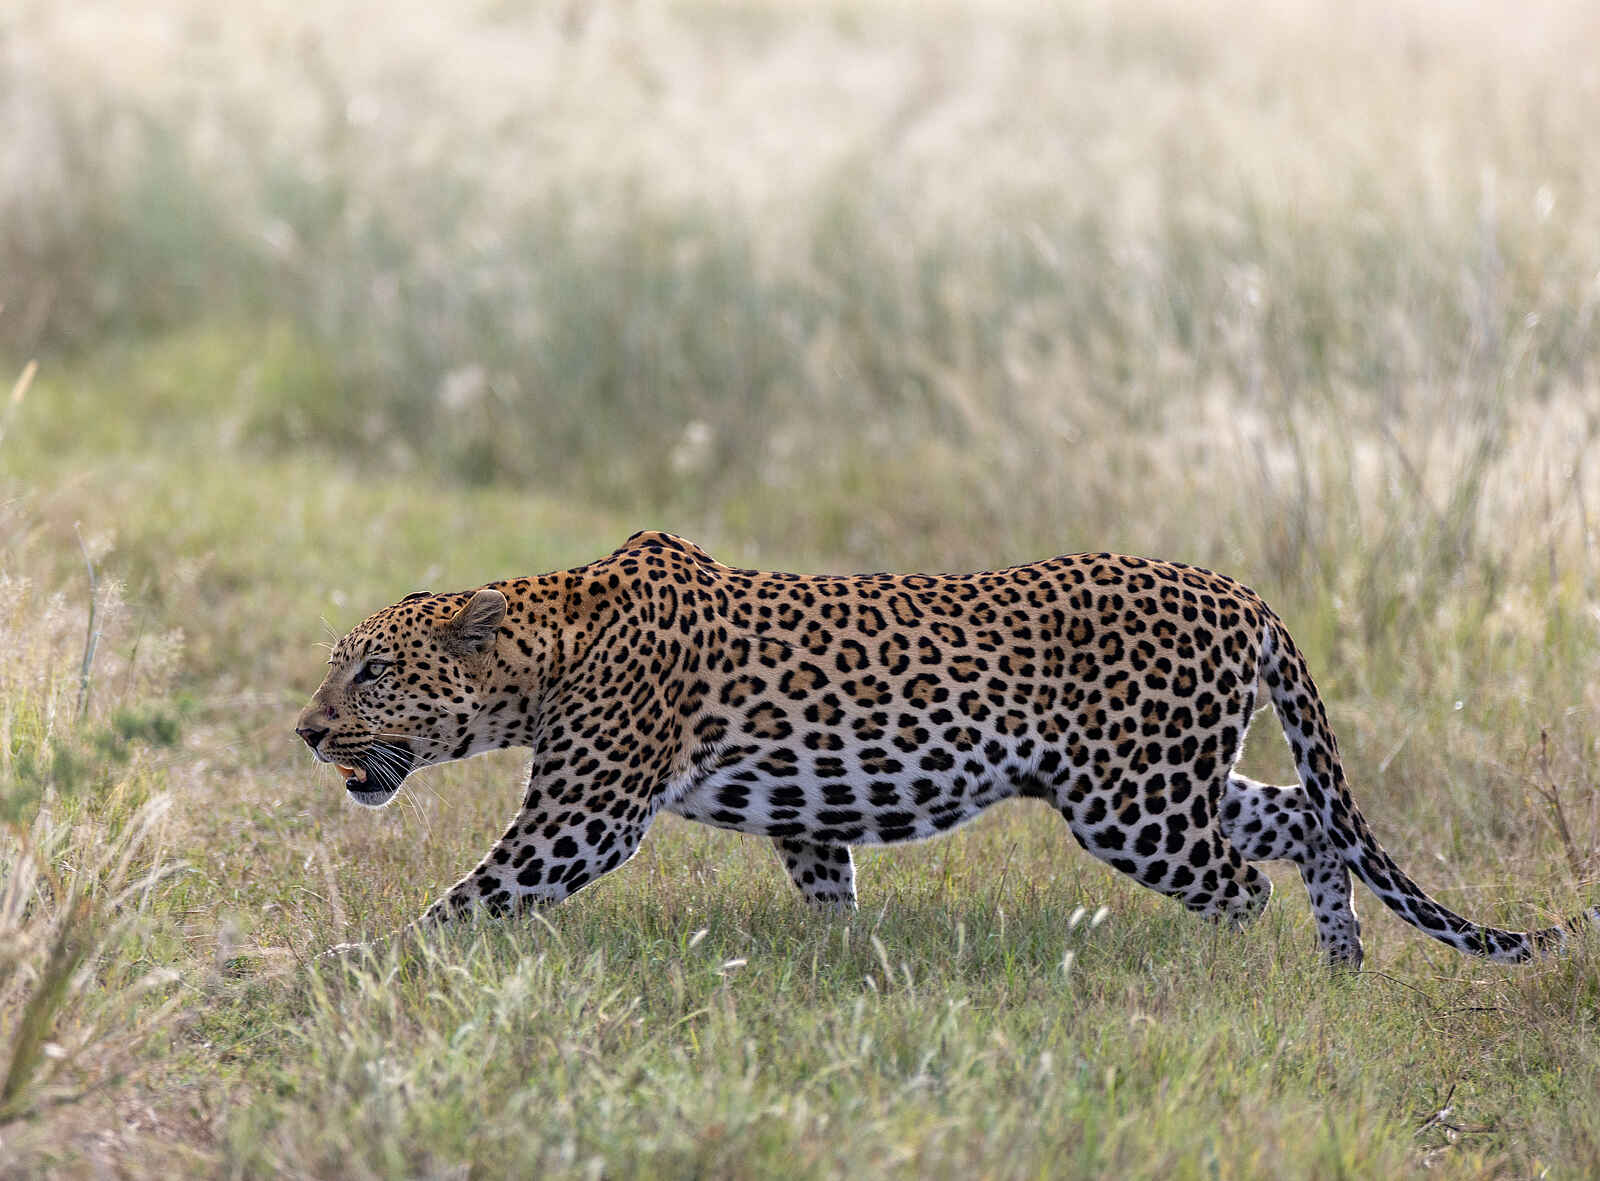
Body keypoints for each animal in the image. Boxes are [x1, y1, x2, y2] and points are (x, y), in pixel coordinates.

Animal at [295, 530, 1600, 967]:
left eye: (370, 671)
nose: (306, 730)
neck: (549, 641)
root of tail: (1239, 589)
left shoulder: (580, 816)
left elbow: (464, 900)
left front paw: (346, 964)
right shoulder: (806, 813)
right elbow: (830, 892)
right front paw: (840, 971)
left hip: (1135, 802)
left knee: (1242, 881)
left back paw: (1224, 980)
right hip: (1160, 778)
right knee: (1300, 821)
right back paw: (1338, 969)